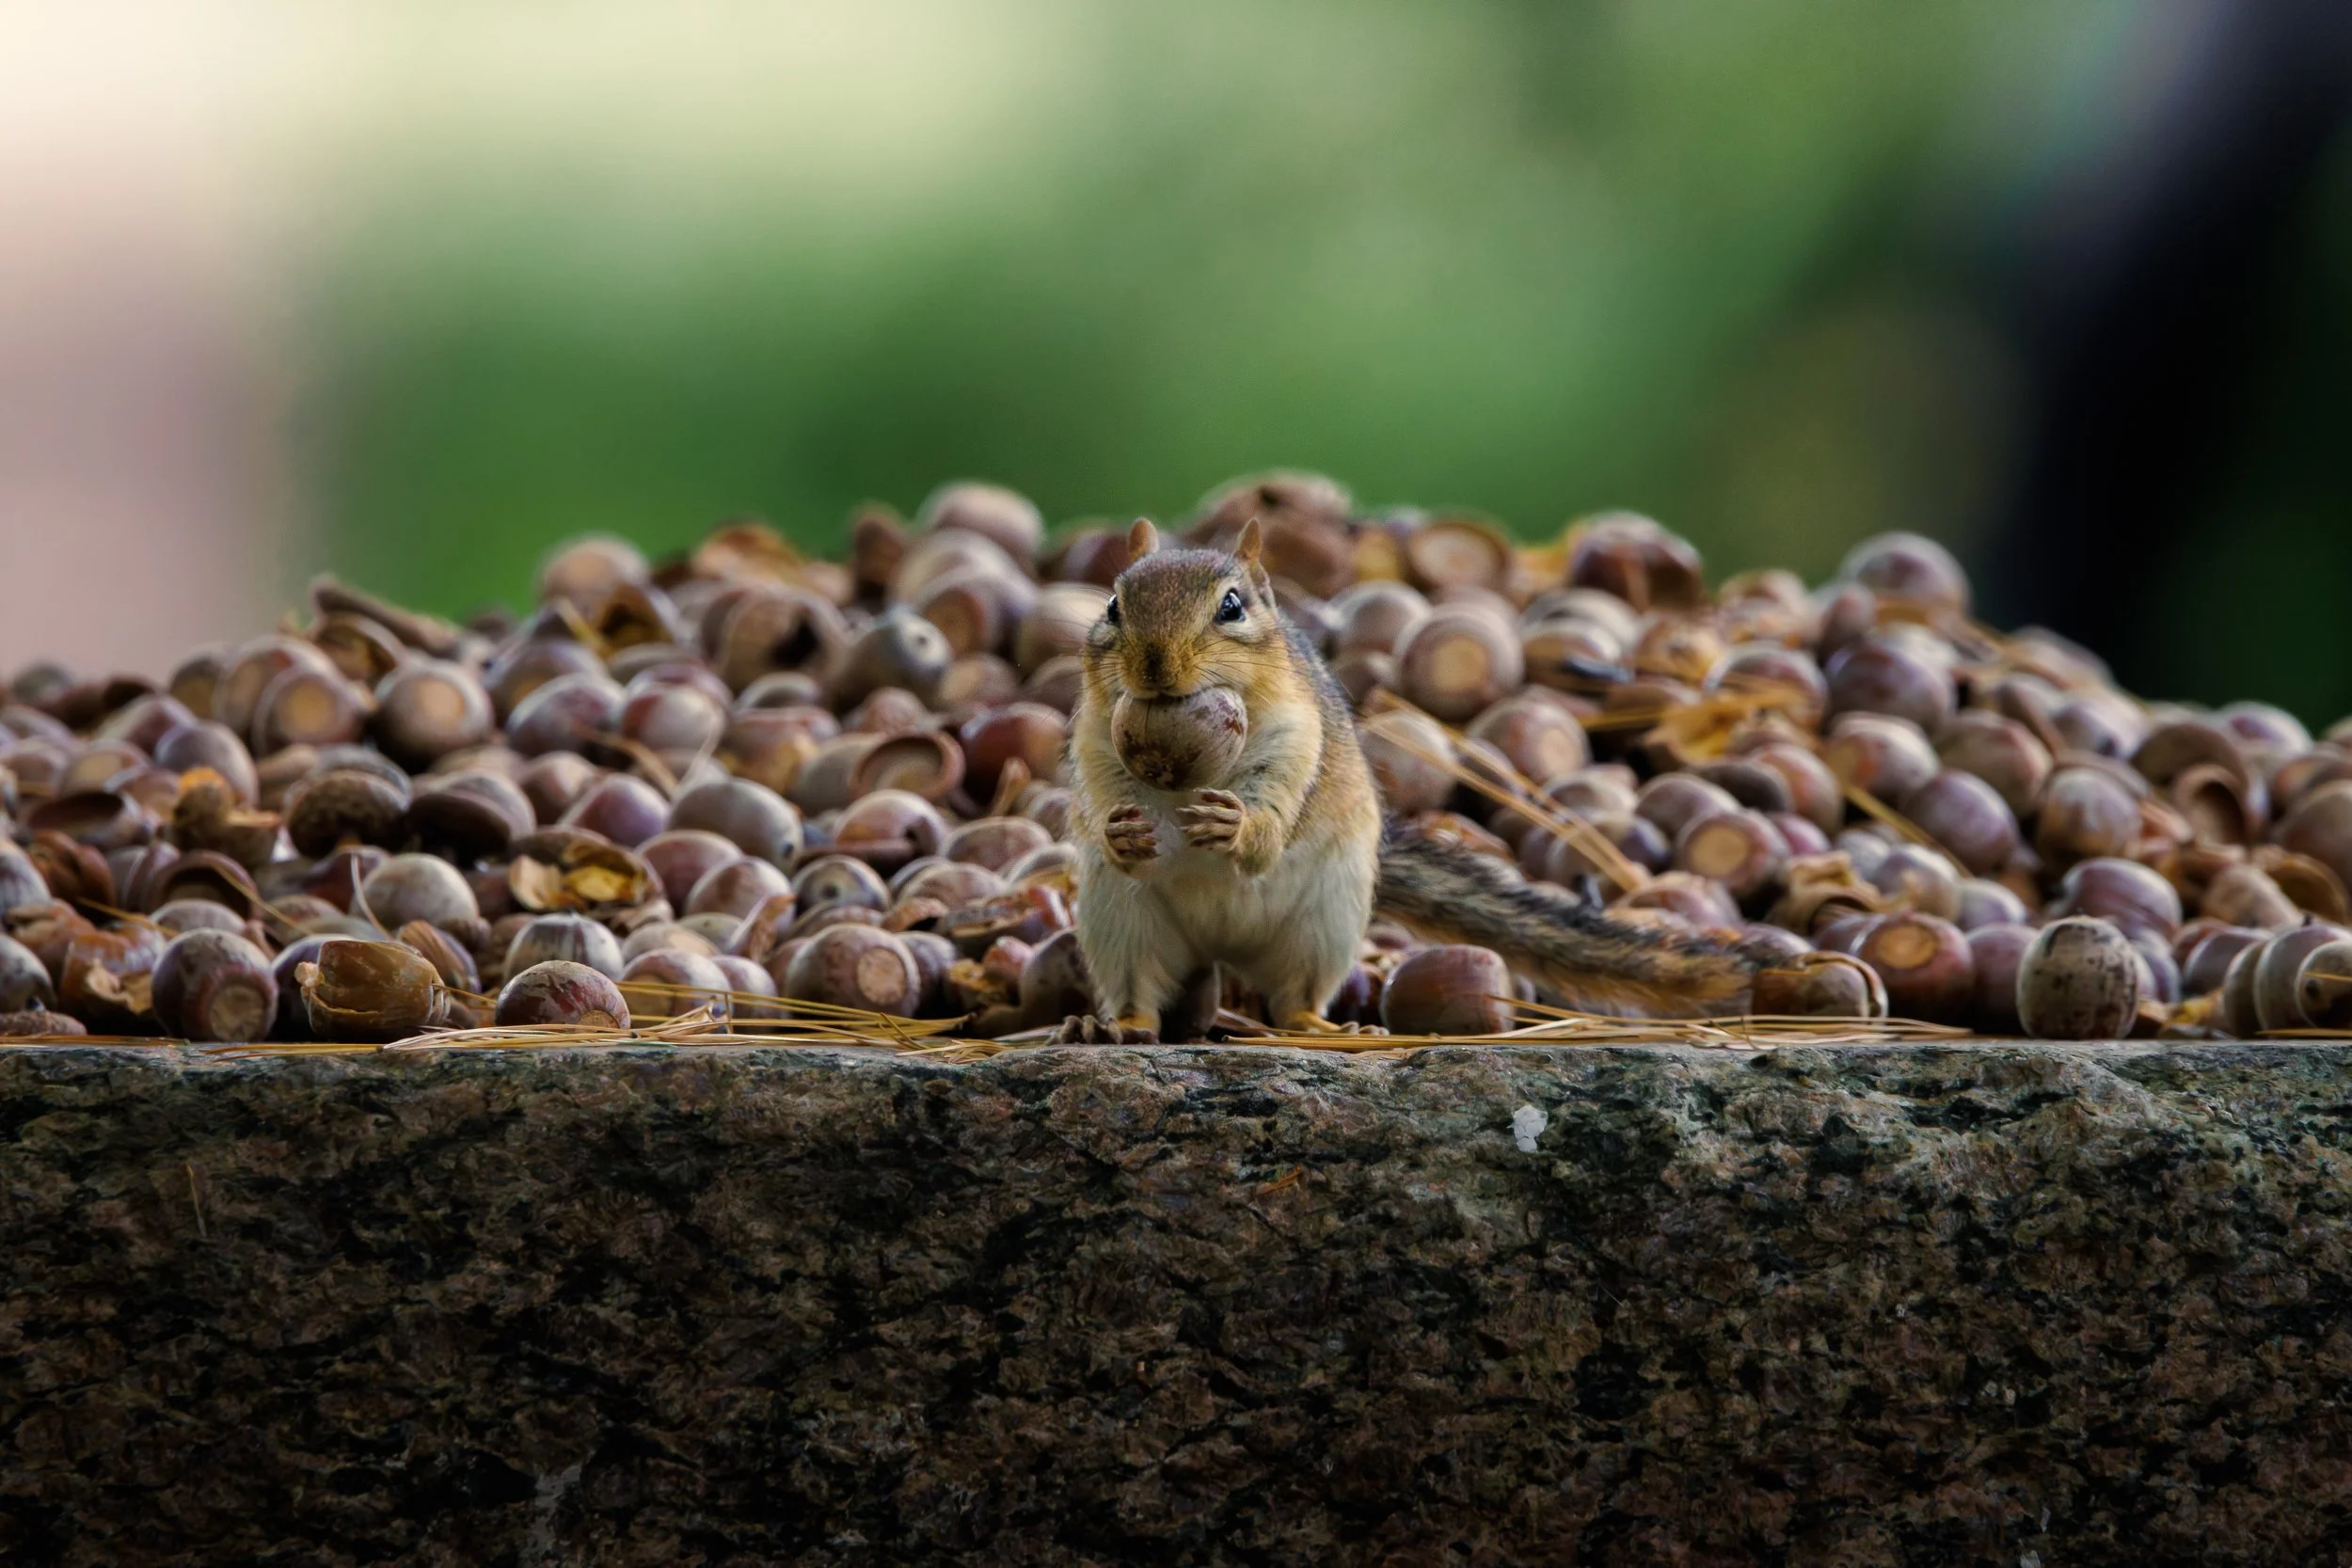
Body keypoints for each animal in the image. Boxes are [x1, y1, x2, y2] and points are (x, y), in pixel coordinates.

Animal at [1059, 515, 1771, 1042]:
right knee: (1140, 991)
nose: (1154, 667)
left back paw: (1325, 1027)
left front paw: (1239, 827)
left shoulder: (1297, 738)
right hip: (1121, 922)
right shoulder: (1095, 738)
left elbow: (1277, 809)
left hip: (1325, 923)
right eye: (1114, 605)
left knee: (1293, 997)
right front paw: (1120, 833)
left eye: (1231, 606)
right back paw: (1111, 1027)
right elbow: (1099, 792)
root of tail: (1220, 945)